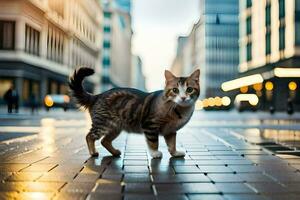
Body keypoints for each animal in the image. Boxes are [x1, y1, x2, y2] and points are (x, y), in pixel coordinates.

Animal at [68, 67, 199, 158]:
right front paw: (155, 153)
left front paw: (175, 153)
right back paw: (93, 152)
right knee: (89, 136)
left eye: (189, 89)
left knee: (104, 141)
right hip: (102, 124)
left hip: (115, 128)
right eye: (175, 90)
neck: (180, 110)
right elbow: (153, 142)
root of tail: (97, 95)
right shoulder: (150, 125)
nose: (183, 97)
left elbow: (172, 144)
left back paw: (114, 152)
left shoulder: (171, 131)